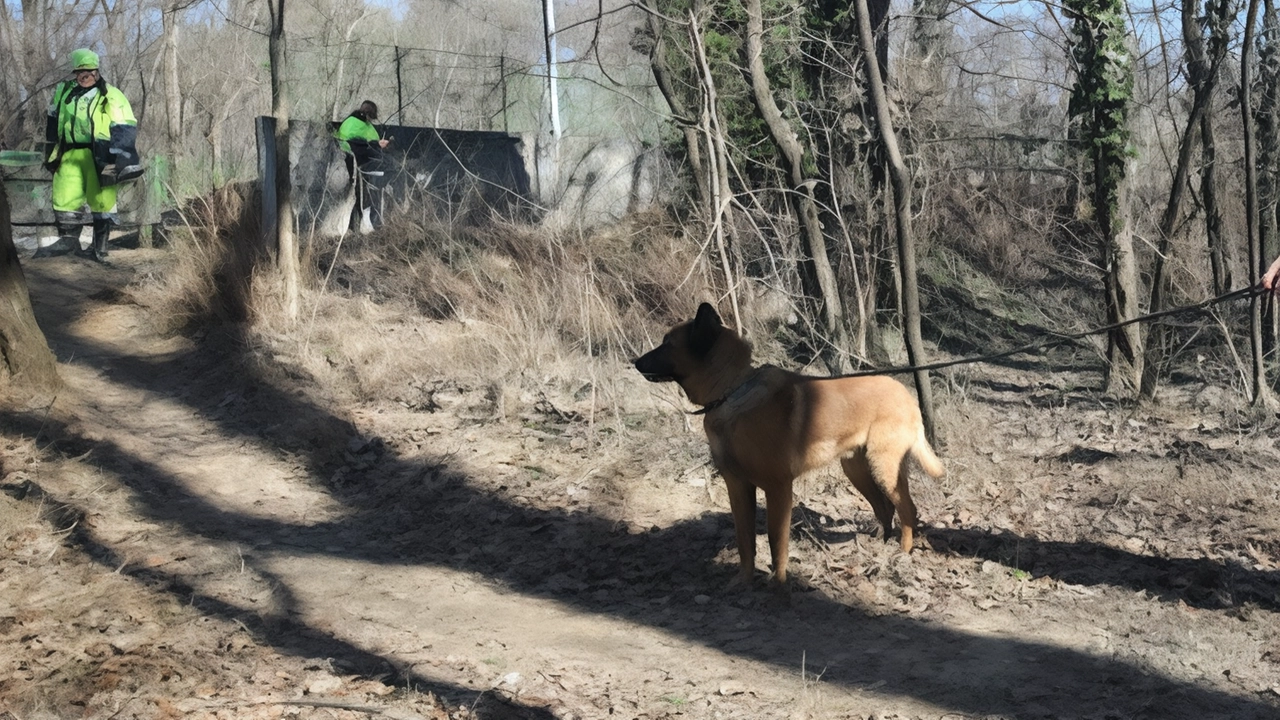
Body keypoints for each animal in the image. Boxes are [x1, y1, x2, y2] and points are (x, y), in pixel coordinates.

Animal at [629, 302, 942, 589]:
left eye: (667, 343)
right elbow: (745, 541)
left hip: (883, 467)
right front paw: (743, 581)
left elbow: (775, 541)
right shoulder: (738, 488)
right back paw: (878, 547)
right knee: (885, 508)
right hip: (858, 470)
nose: (634, 362)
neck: (731, 390)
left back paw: (902, 553)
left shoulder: (778, 488)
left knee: (907, 509)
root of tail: (904, 392)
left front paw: (778, 585)